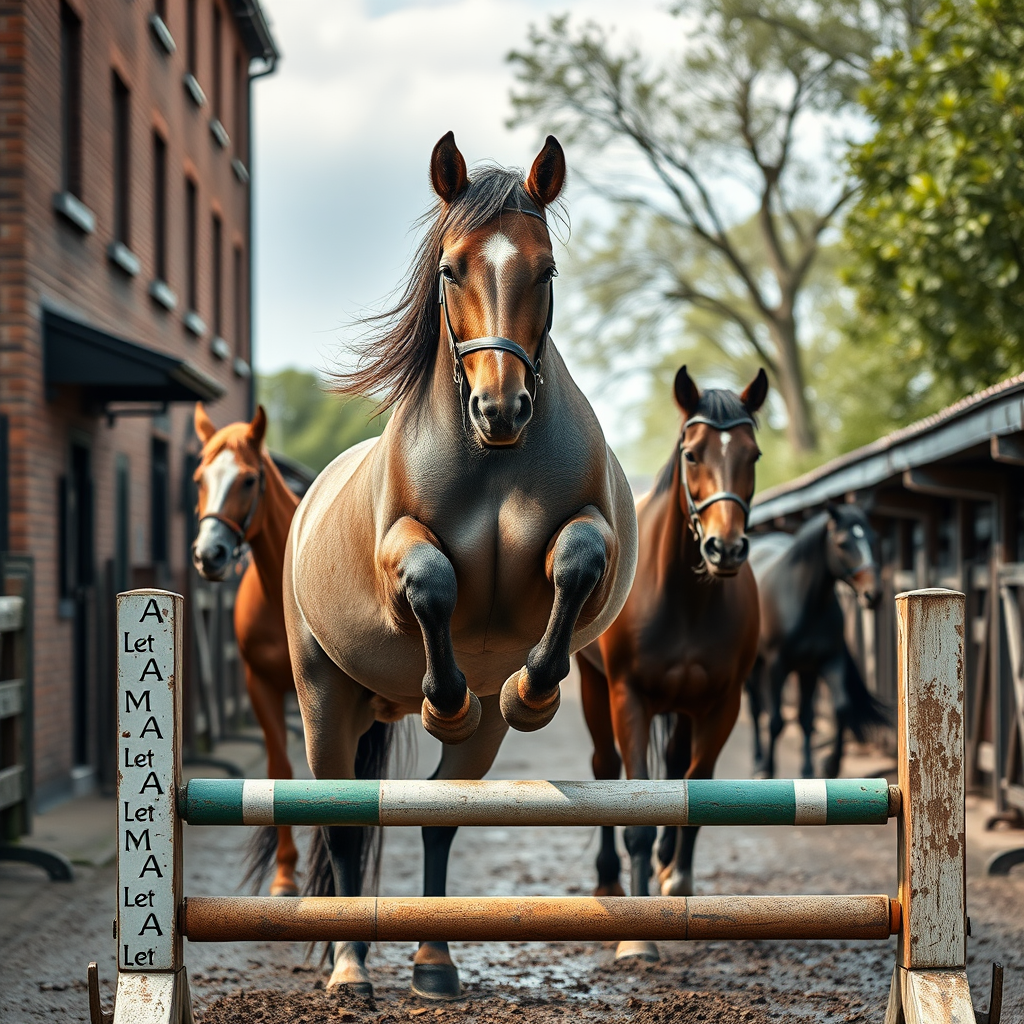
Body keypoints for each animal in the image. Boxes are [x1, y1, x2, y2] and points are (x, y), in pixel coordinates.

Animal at [282, 132, 638, 1000]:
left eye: (545, 270)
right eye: (451, 268)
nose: (500, 409)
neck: (493, 463)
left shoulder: (597, 538)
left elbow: (576, 559)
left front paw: (531, 691)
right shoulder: (398, 556)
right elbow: (432, 581)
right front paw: (443, 700)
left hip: (455, 742)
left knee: (438, 815)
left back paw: (433, 962)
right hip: (324, 699)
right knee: (347, 826)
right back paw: (350, 969)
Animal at [576, 365, 767, 962]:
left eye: (753, 454)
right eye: (692, 453)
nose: (724, 549)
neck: (684, 597)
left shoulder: (720, 705)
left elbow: (695, 789)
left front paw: (676, 879)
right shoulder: (629, 698)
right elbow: (634, 807)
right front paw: (637, 937)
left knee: (677, 771)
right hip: (593, 689)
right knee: (604, 768)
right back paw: (608, 880)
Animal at [744, 502, 888, 779]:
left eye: (872, 538)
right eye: (842, 543)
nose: (873, 594)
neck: (806, 602)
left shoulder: (826, 662)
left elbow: (837, 710)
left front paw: (825, 767)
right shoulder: (777, 665)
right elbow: (776, 721)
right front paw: (768, 770)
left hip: (803, 671)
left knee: (802, 716)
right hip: (754, 665)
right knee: (756, 709)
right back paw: (757, 761)